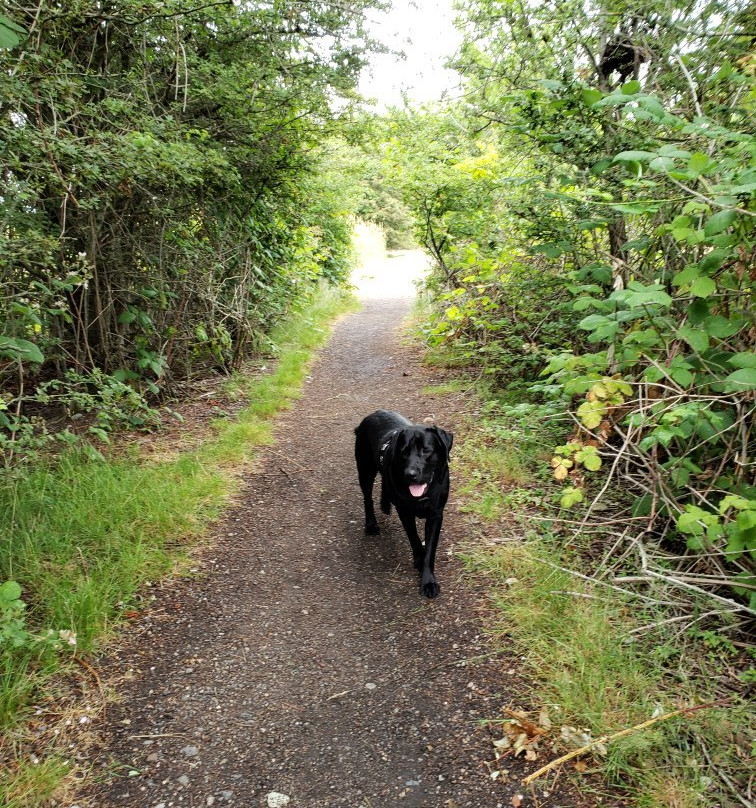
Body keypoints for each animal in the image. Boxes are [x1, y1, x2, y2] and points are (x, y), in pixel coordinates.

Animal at [356, 414, 454, 596]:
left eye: (426, 450)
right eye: (404, 451)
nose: (410, 474)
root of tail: (372, 414)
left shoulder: (436, 515)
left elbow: (430, 550)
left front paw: (428, 581)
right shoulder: (405, 512)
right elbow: (414, 538)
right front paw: (419, 559)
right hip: (365, 470)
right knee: (367, 498)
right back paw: (371, 524)